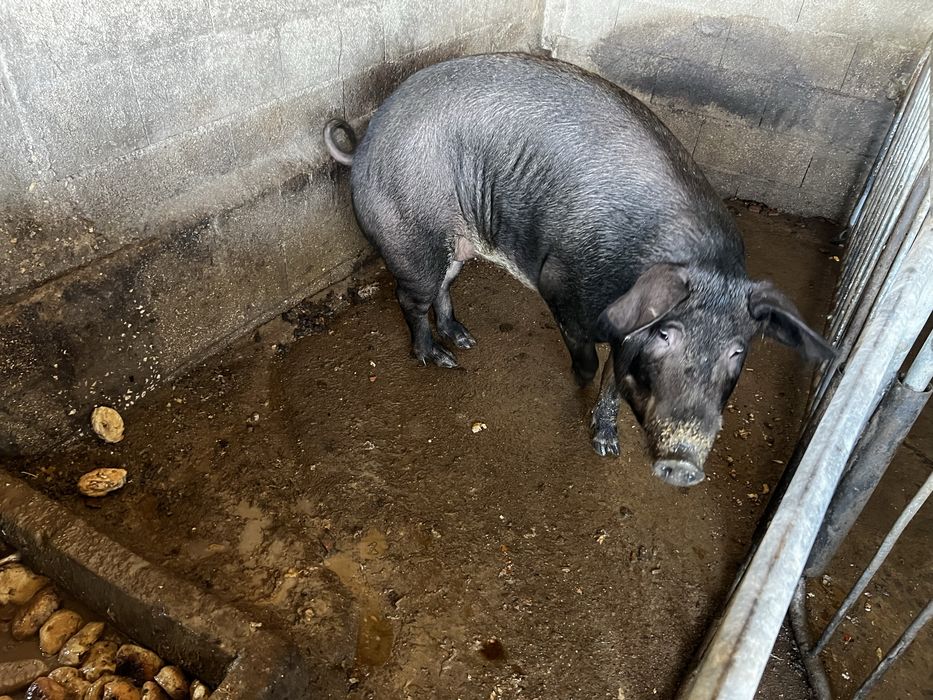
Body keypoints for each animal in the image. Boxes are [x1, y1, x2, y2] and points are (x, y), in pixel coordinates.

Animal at [323, 53, 834, 487]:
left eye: (737, 350)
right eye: (666, 334)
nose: (683, 463)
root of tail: (362, 146)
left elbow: (613, 380)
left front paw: (606, 447)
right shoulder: (559, 282)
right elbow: (588, 359)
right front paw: (577, 379)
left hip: (454, 245)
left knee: (446, 286)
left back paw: (465, 339)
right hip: (412, 240)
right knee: (411, 298)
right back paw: (441, 358)